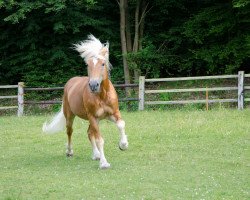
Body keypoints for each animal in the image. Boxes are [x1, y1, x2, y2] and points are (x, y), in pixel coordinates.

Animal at [42, 34, 128, 169]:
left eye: (103, 64)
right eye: (88, 65)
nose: (93, 85)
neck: (102, 96)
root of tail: (70, 82)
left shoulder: (113, 114)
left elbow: (121, 124)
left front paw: (123, 145)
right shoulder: (93, 117)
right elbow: (99, 139)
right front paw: (104, 163)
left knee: (89, 133)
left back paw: (96, 155)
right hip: (71, 116)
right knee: (70, 132)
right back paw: (70, 152)